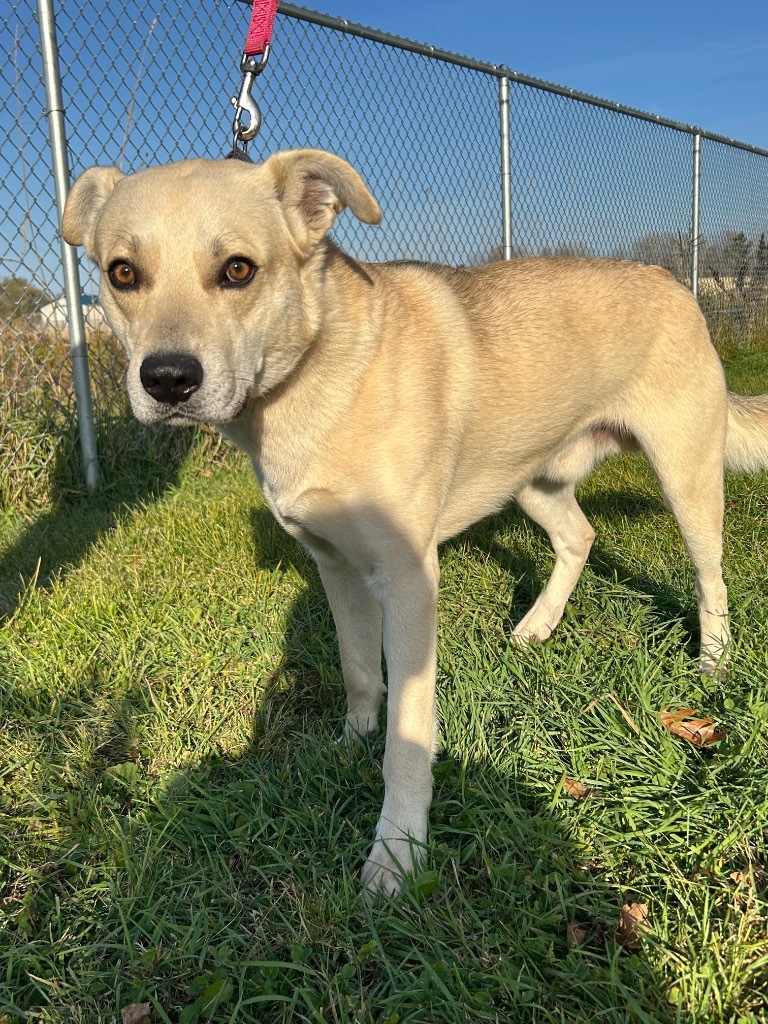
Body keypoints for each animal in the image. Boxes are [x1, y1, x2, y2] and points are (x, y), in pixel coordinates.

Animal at [63, 151, 768, 897]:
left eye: (237, 269)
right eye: (122, 273)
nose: (167, 379)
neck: (317, 376)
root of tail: (671, 281)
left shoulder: (408, 581)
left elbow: (408, 734)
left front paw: (397, 852)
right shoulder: (337, 568)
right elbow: (356, 671)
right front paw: (350, 744)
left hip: (686, 475)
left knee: (710, 577)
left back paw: (714, 666)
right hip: (531, 478)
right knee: (580, 537)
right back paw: (537, 625)